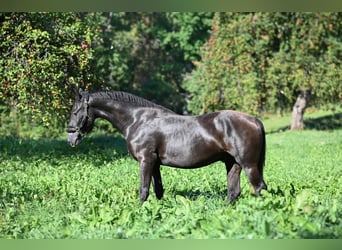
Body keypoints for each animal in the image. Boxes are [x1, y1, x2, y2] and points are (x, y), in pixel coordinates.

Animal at [65, 89, 266, 204]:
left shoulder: (146, 160)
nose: (70, 137)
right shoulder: (155, 163)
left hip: (249, 165)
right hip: (232, 164)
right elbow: (158, 190)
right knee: (234, 192)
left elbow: (144, 190)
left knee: (259, 188)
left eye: (75, 112)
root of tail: (254, 120)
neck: (137, 120)